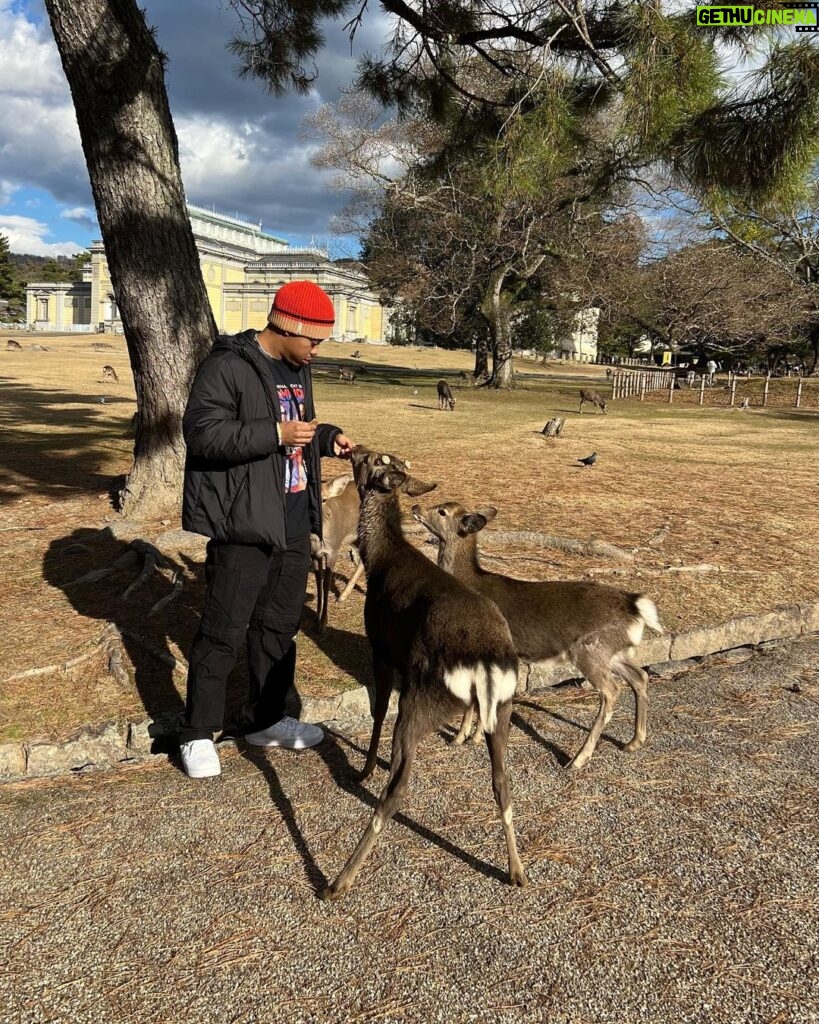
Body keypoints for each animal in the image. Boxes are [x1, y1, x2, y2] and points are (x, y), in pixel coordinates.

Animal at [319, 444, 524, 901]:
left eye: (371, 460)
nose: (352, 447)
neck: (380, 559)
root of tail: (487, 664)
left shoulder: (381, 647)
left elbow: (378, 710)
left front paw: (365, 767)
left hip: (423, 699)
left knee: (397, 792)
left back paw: (339, 881)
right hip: (502, 708)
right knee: (502, 783)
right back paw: (517, 870)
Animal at [413, 499, 663, 770]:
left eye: (442, 511)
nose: (415, 506)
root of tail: (635, 606)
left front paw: (469, 737)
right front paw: (465, 737)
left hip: (590, 649)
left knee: (611, 691)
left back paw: (577, 759)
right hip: (613, 651)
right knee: (639, 676)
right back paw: (634, 741)